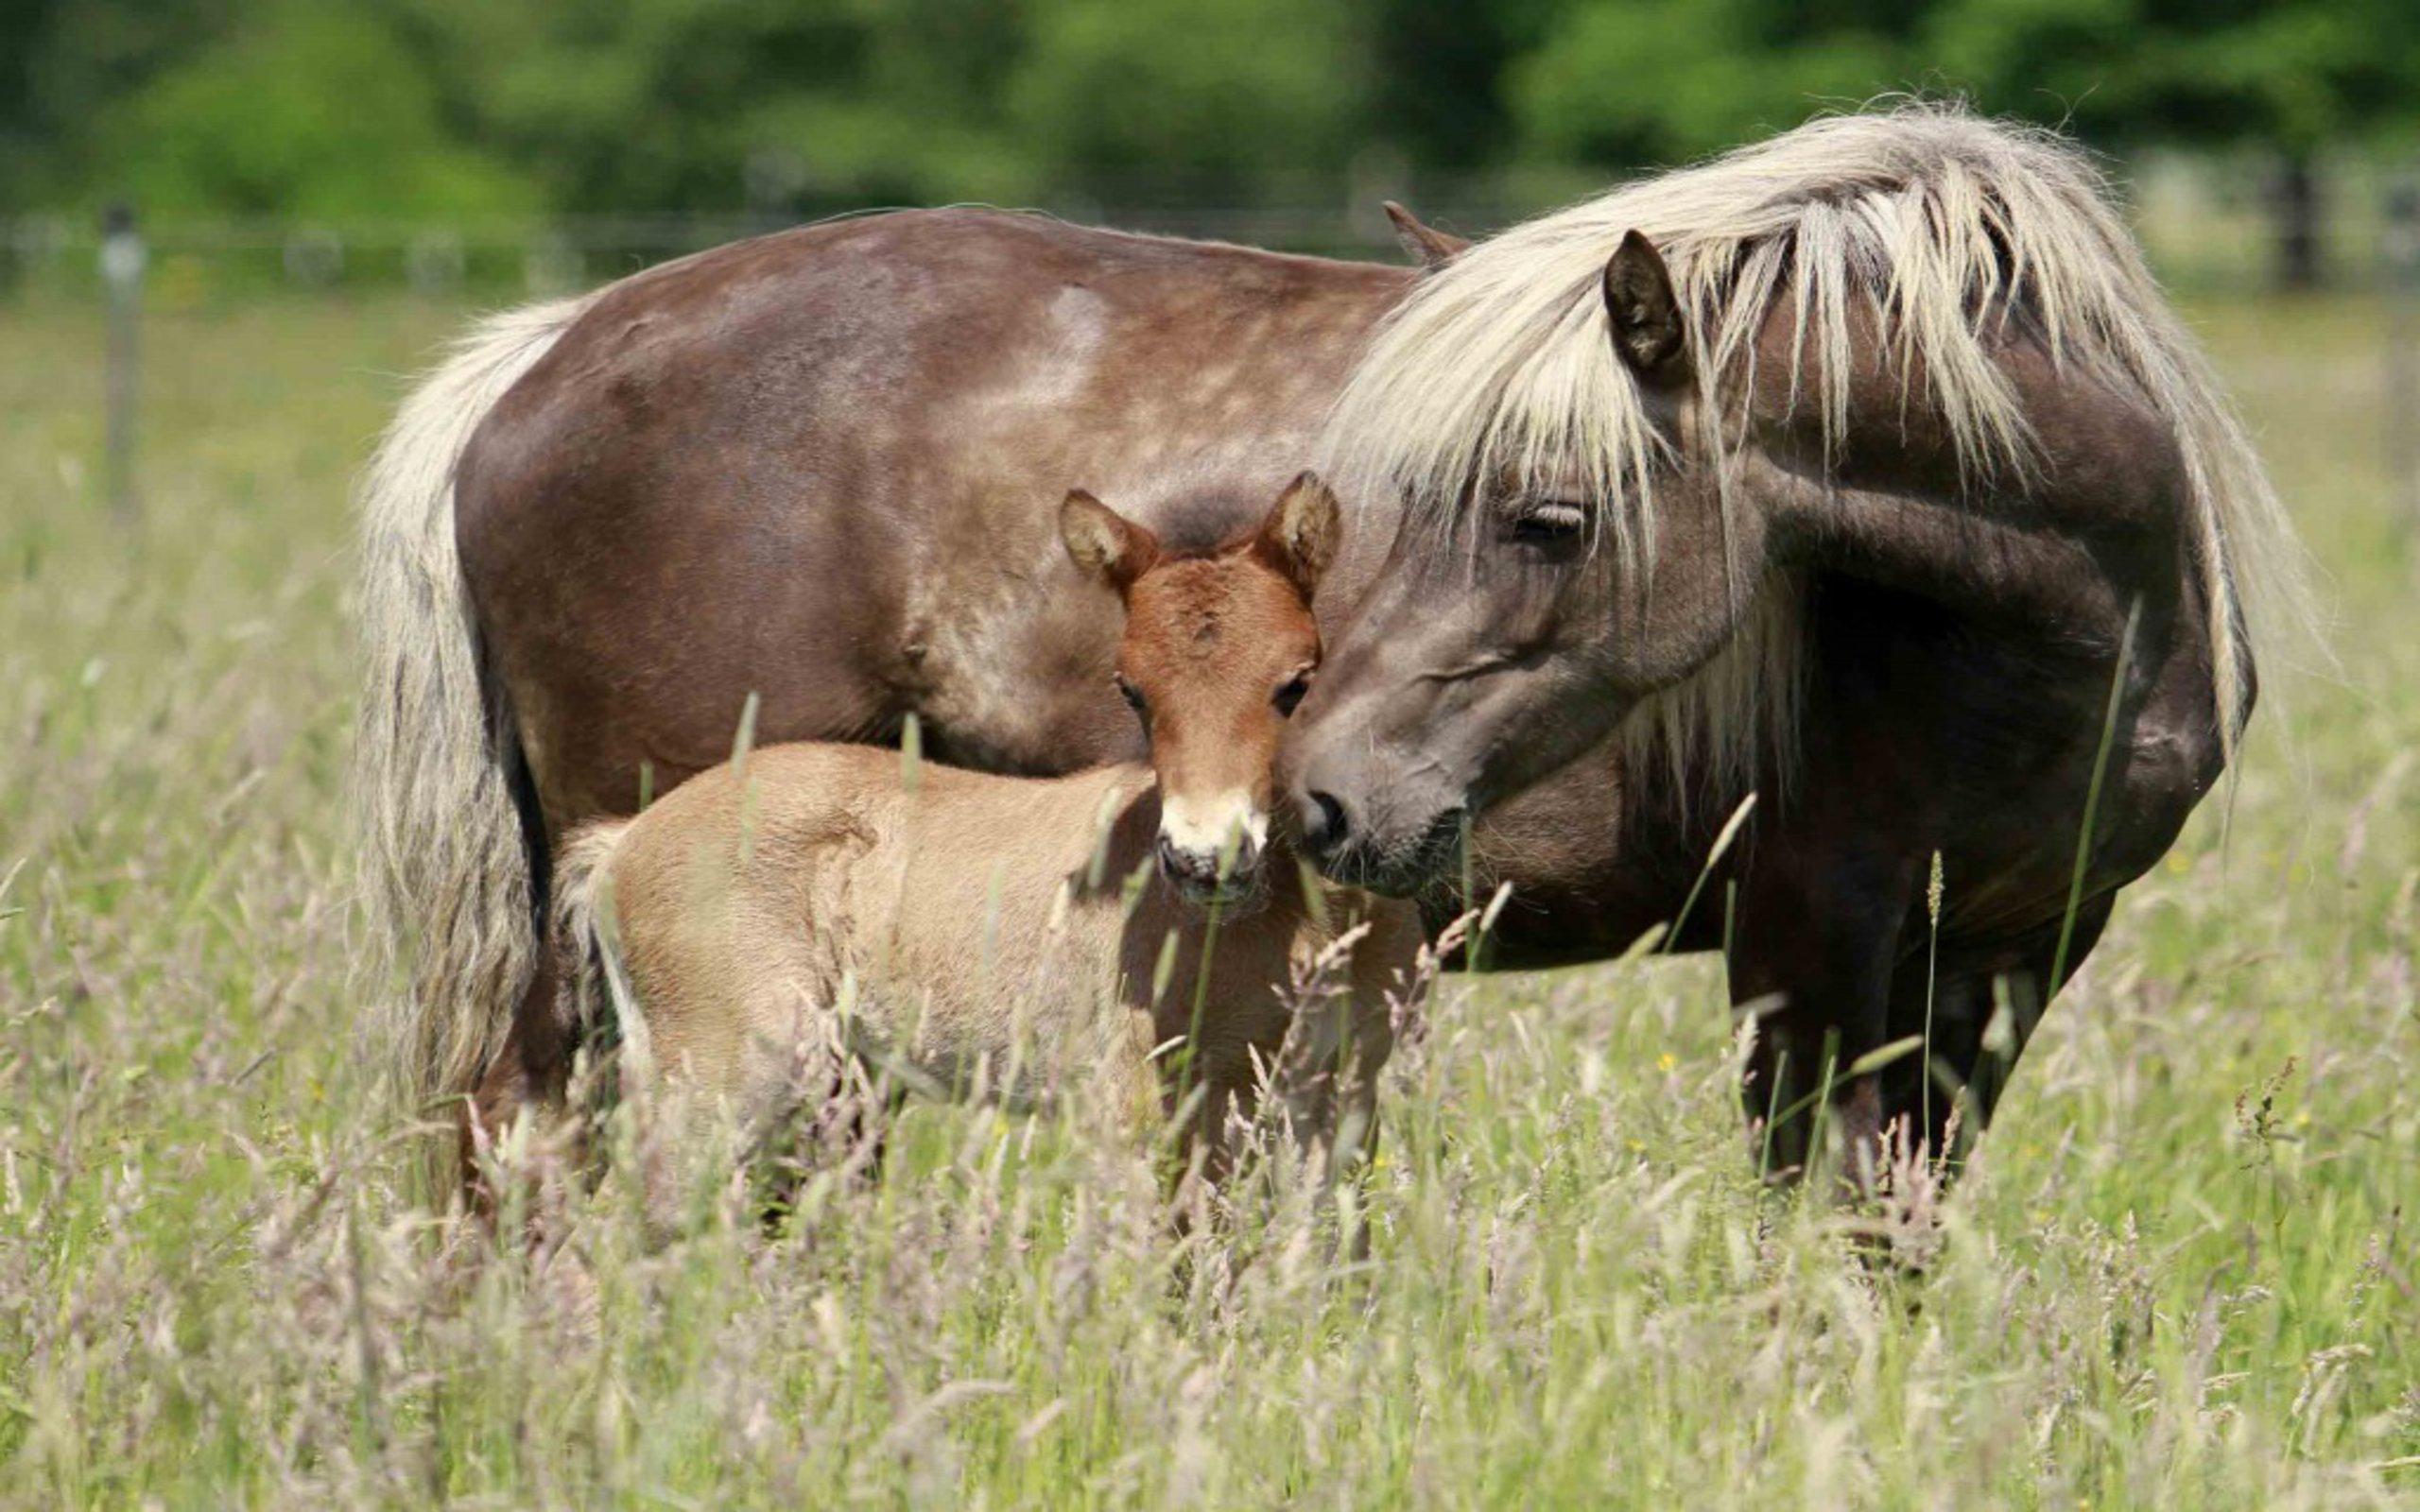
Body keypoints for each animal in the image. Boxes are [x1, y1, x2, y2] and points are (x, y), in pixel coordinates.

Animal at [528, 474, 1418, 1202]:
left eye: (1295, 683)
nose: (1204, 860)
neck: (1304, 925)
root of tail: (623, 842)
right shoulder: (1138, 1101)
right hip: (726, 1074)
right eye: (1131, 690)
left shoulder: (1338, 1100)